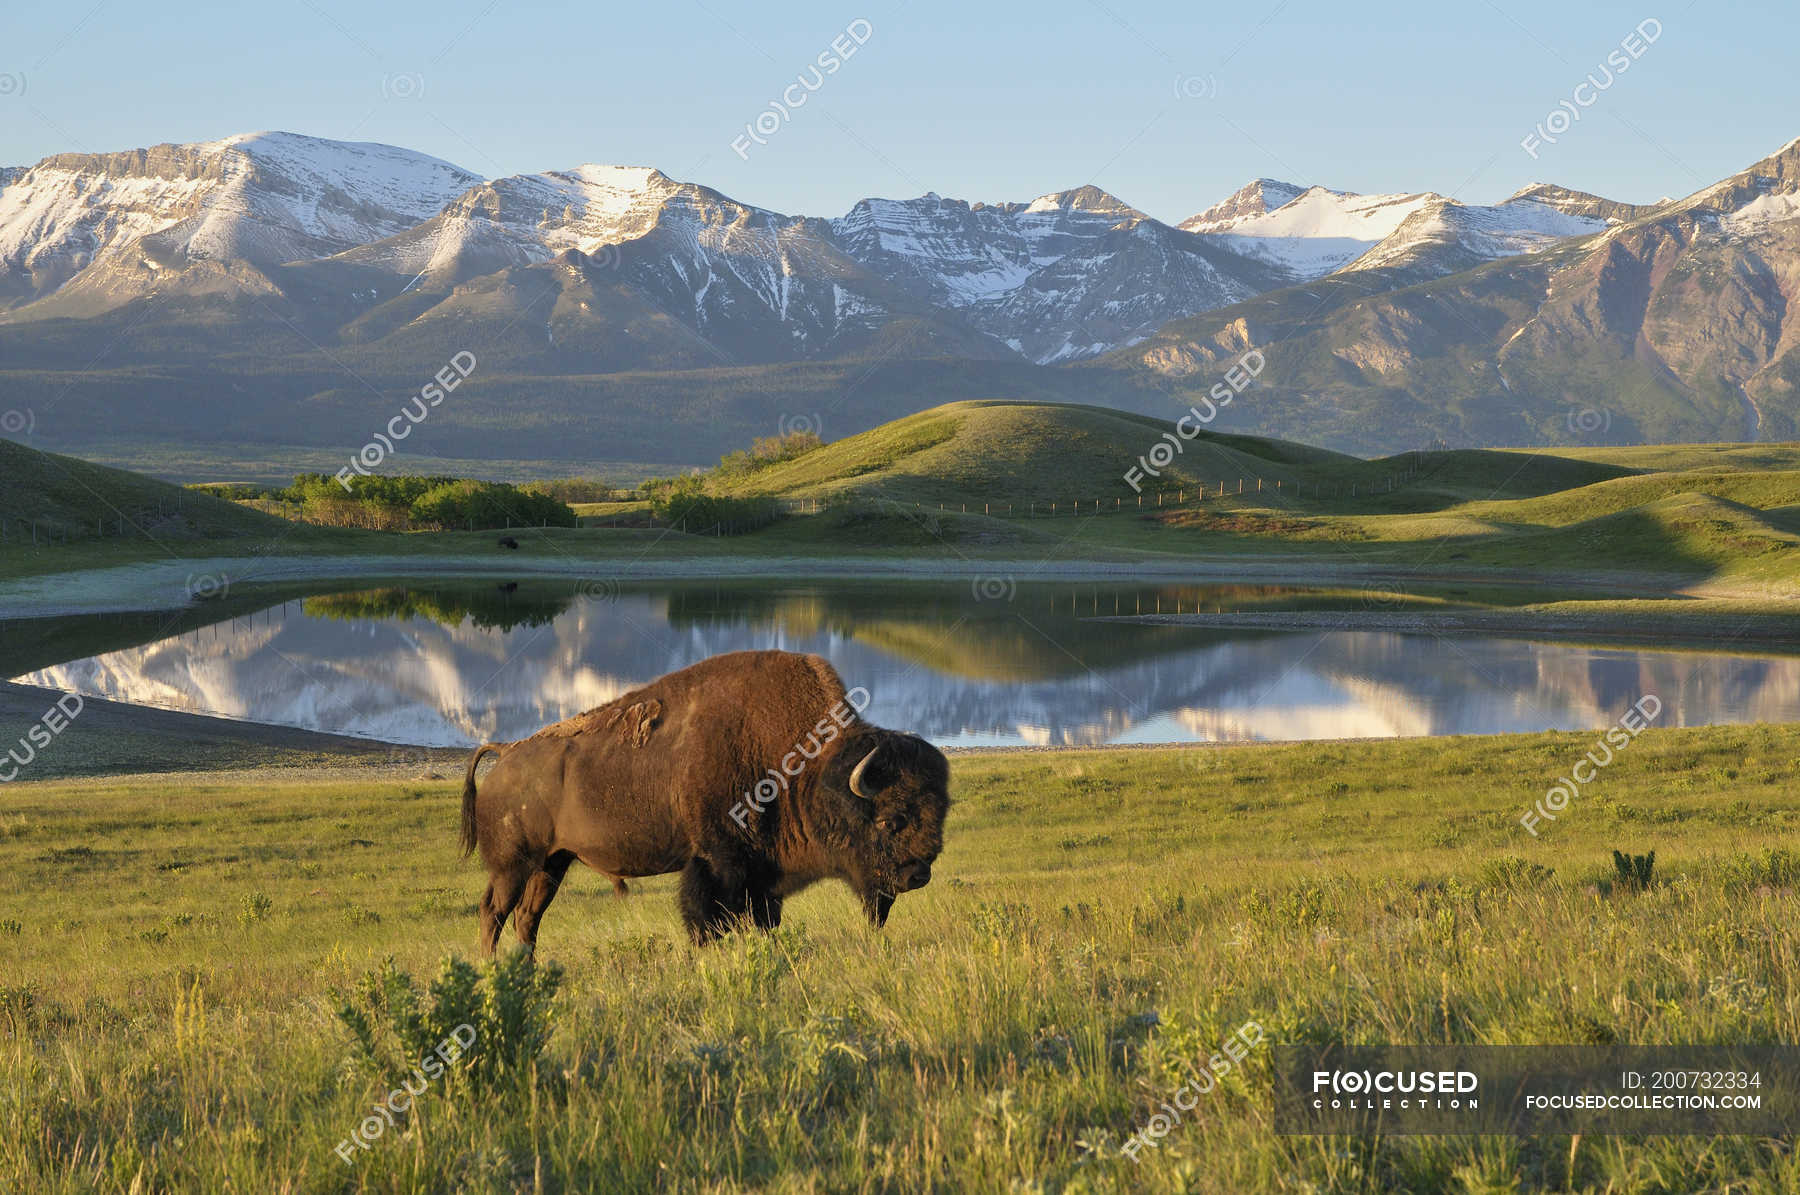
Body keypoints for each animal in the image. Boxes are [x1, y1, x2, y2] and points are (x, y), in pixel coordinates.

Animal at [457, 647, 950, 950]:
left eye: (938, 816)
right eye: (889, 820)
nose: (919, 875)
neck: (804, 769)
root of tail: (505, 754)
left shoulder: (763, 876)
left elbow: (763, 920)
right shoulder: (716, 861)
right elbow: (705, 921)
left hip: (552, 863)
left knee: (527, 917)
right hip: (513, 865)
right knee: (493, 912)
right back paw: (492, 968)